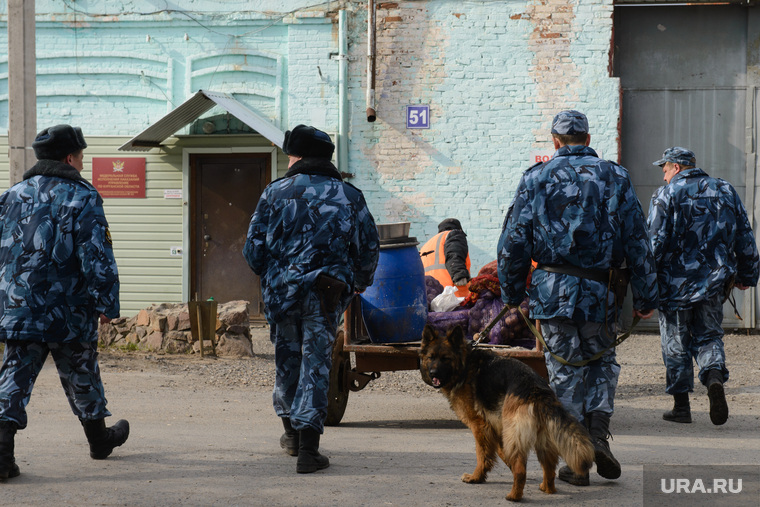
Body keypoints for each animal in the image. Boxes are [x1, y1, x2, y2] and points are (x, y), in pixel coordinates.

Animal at [422, 326, 592, 504]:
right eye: (431, 357)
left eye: (445, 358)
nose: (433, 373)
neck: (465, 364)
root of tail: (536, 390)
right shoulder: (494, 428)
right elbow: (500, 452)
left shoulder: (479, 426)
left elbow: (482, 454)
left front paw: (476, 477)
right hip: (539, 440)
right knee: (549, 467)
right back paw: (547, 488)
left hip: (513, 435)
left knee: (521, 469)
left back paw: (514, 496)